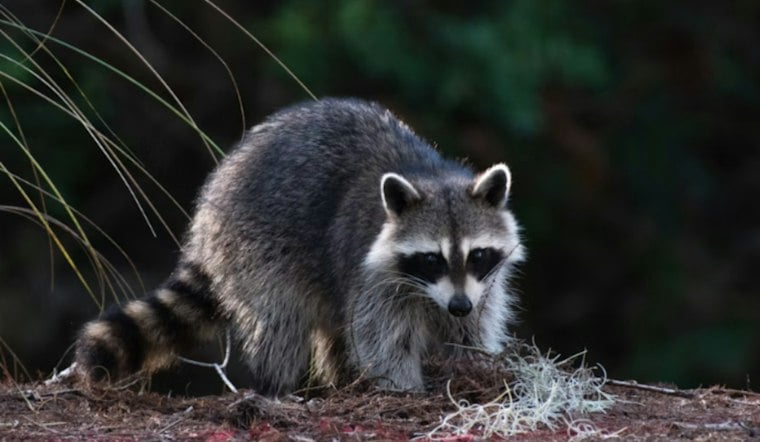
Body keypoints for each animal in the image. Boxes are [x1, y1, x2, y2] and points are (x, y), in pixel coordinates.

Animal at [75, 98, 525, 395]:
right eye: (431, 259)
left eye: (477, 254)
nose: (458, 305)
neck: (432, 176)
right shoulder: (373, 274)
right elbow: (382, 338)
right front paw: (403, 387)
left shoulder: (480, 285)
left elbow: (471, 327)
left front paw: (473, 365)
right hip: (257, 245)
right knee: (281, 320)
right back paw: (277, 387)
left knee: (334, 327)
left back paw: (341, 381)